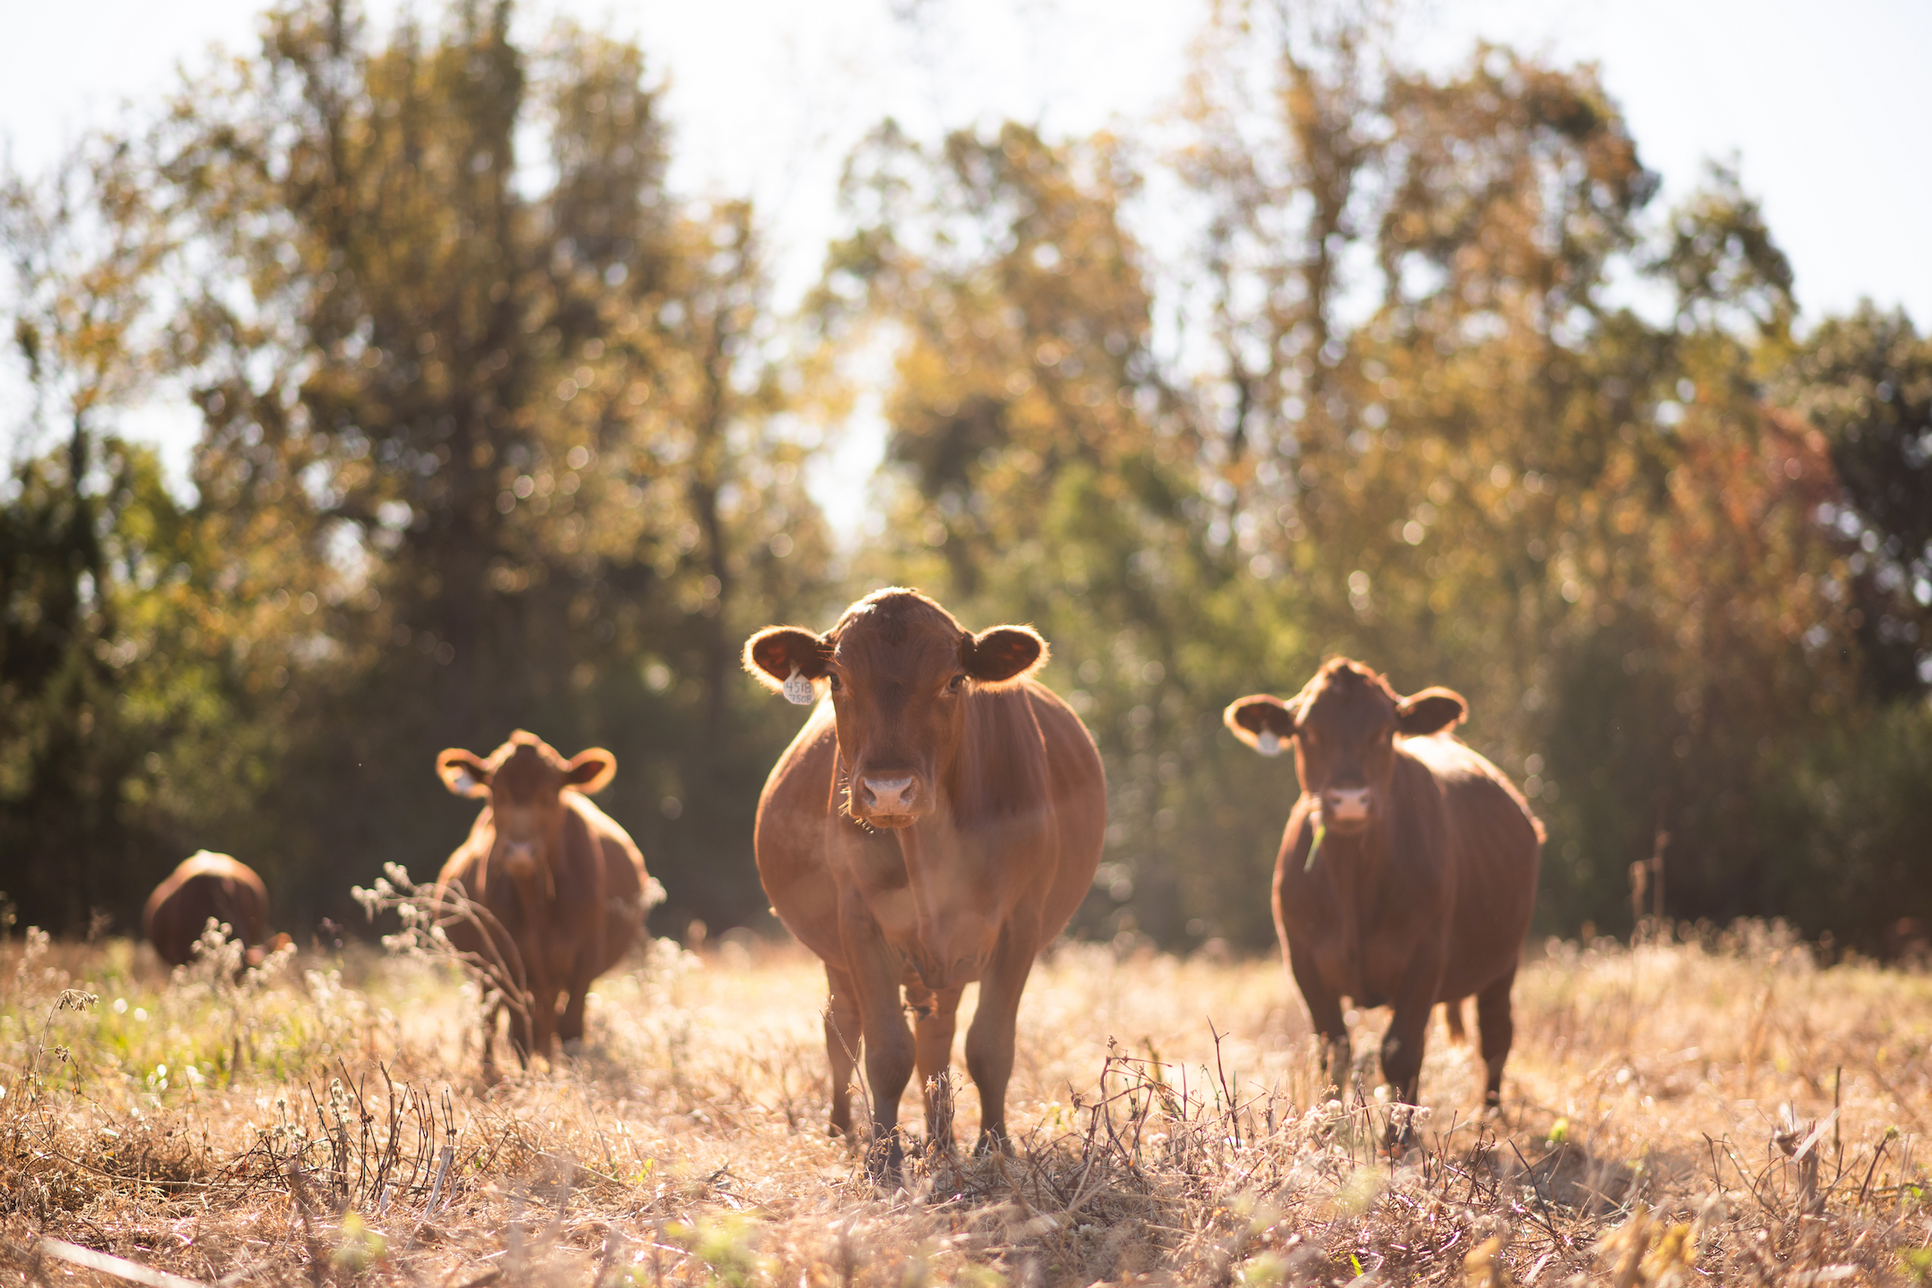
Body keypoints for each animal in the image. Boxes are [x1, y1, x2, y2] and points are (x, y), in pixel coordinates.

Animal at [434, 729, 653, 1073]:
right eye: (496, 793)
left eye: (550, 793)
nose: (520, 852)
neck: (537, 906)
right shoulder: (505, 961)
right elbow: (518, 1033)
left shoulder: (585, 958)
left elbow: (571, 1028)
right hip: (491, 972)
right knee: (492, 1021)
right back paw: (490, 1072)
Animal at [745, 590, 1112, 1174]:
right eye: (837, 679)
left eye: (954, 680)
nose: (889, 790)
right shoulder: (859, 921)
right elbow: (887, 1050)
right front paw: (883, 1158)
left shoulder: (1020, 923)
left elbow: (990, 1046)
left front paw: (993, 1147)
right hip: (840, 958)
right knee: (843, 1029)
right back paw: (841, 1131)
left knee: (937, 1038)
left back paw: (943, 1141)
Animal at [1221, 660, 1537, 1135]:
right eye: (1307, 731)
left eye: (1386, 731)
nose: (1350, 799)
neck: (1353, 882)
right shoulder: (1302, 958)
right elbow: (1333, 1052)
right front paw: (1329, 1130)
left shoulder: (1426, 956)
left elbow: (1401, 1053)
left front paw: (1400, 1138)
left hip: (1504, 961)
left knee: (1496, 1036)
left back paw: (1490, 1119)